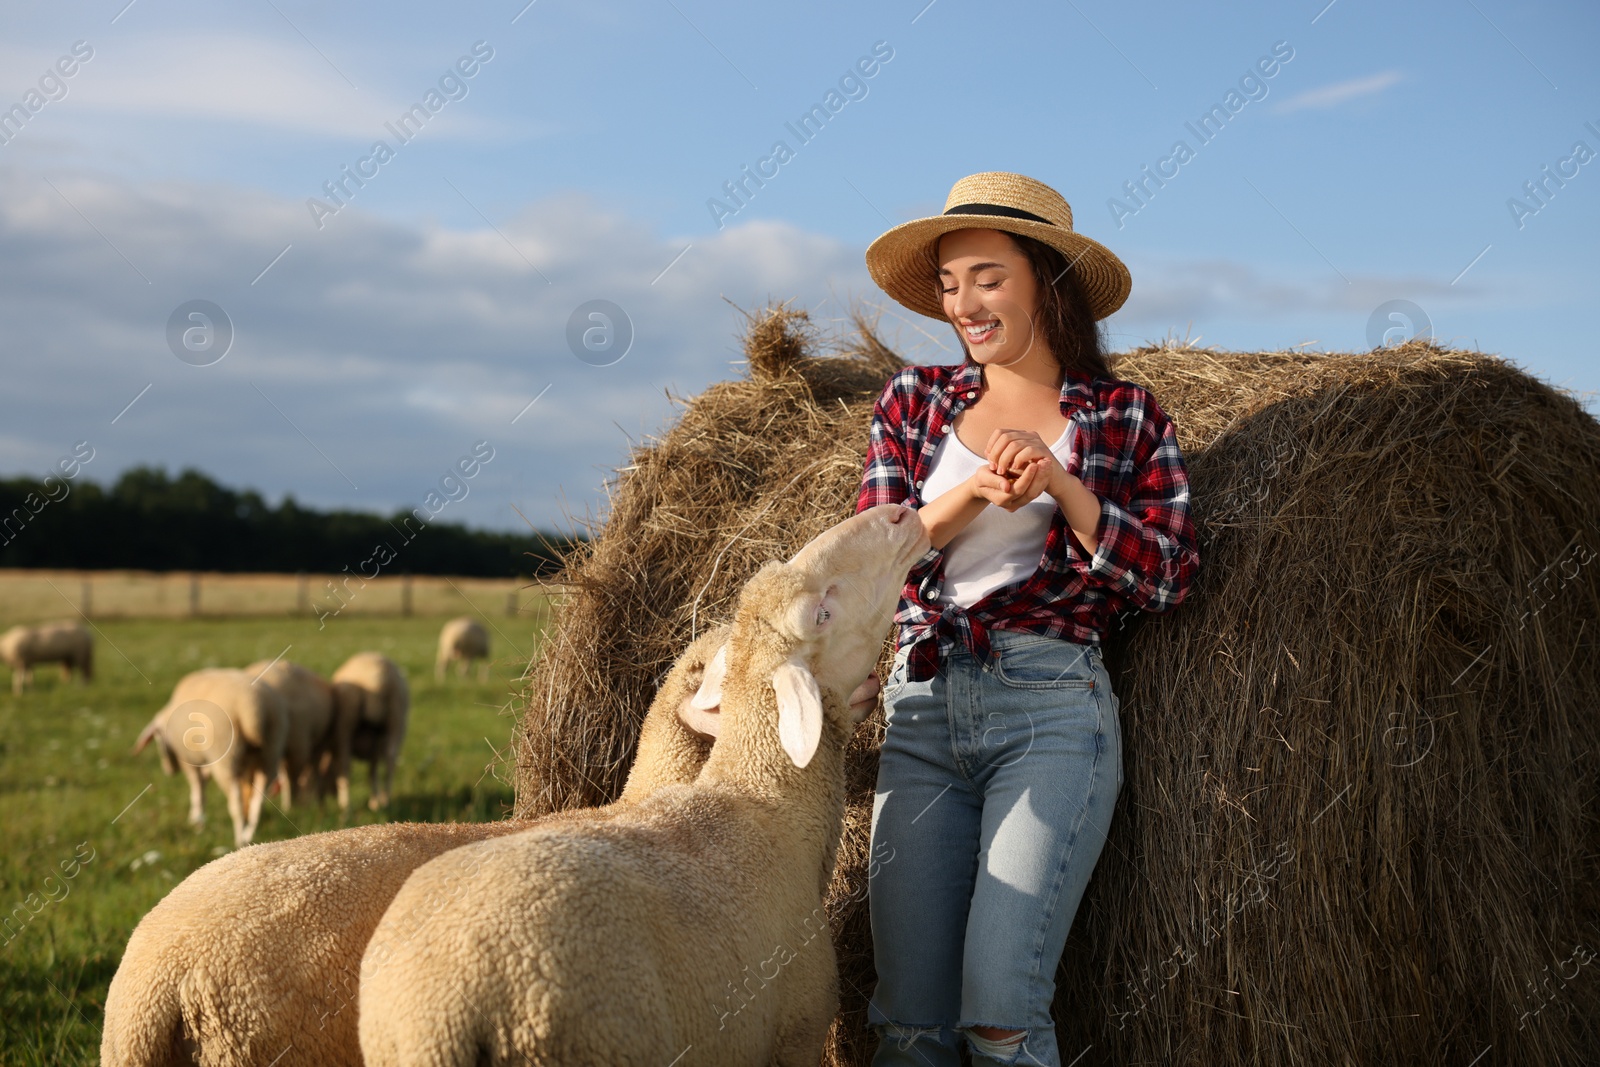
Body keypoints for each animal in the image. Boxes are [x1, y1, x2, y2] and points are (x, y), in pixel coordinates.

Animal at [133, 668, 288, 851]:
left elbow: (197, 787)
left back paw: (239, 839)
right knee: (258, 802)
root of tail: (252, 706)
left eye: (156, 738)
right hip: (270, 753)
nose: (169, 770)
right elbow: (204, 781)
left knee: (236, 804)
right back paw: (249, 836)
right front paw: (197, 817)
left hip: (226, 754)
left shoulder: (189, 759)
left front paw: (196, 818)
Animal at [241, 659, 348, 809]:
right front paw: (299, 804)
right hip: (294, 742)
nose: (333, 794)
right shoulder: (305, 744)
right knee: (290, 776)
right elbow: (300, 776)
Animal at [326, 655, 409, 812]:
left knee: (345, 767)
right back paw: (386, 800)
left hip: (345, 723)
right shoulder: (375, 747)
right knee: (390, 761)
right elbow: (373, 771)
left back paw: (346, 806)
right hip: (397, 717)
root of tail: (376, 680)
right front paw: (375, 801)